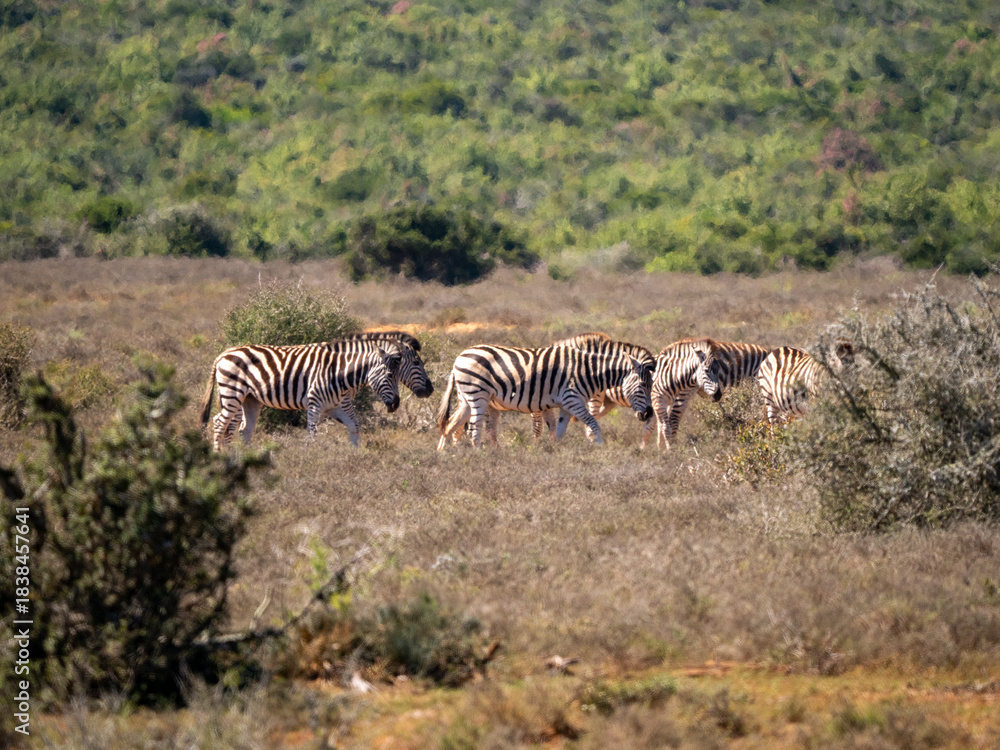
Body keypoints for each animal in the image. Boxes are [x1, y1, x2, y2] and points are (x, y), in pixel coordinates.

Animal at [198, 341, 402, 450]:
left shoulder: (336, 407)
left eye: (398, 376)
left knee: (244, 429)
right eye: (389, 376)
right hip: (232, 393)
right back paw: (219, 456)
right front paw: (311, 457)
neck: (340, 374)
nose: (397, 404)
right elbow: (312, 432)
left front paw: (355, 454)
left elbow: (355, 427)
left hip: (250, 399)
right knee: (219, 423)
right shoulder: (315, 403)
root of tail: (223, 354)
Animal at [436, 344, 654, 449]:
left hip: (466, 398)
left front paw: (556, 452)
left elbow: (559, 431)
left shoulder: (566, 405)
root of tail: (458, 358)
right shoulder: (572, 400)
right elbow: (593, 423)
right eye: (643, 385)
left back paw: (444, 453)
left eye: (651, 385)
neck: (588, 372)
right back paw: (478, 454)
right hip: (477, 394)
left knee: (450, 424)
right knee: (473, 428)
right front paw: (599, 448)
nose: (648, 414)